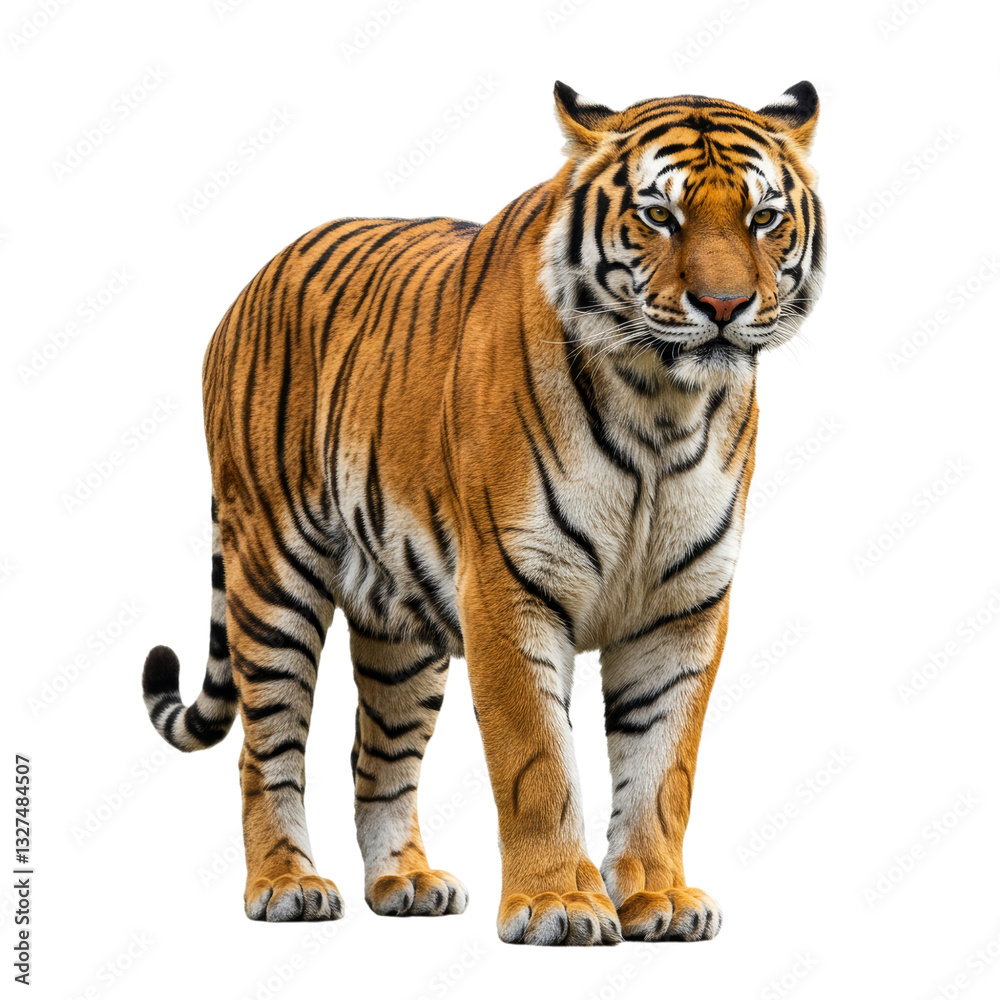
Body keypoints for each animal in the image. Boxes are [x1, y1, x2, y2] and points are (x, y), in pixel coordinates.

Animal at [142, 80, 823, 946]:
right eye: (658, 215)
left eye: (764, 217)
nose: (726, 304)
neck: (662, 405)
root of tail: (254, 281)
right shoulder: (509, 586)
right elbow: (538, 759)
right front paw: (559, 903)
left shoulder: (682, 607)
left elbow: (663, 765)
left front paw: (658, 897)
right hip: (271, 576)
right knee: (266, 748)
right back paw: (287, 885)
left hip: (400, 627)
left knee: (377, 756)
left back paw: (405, 882)